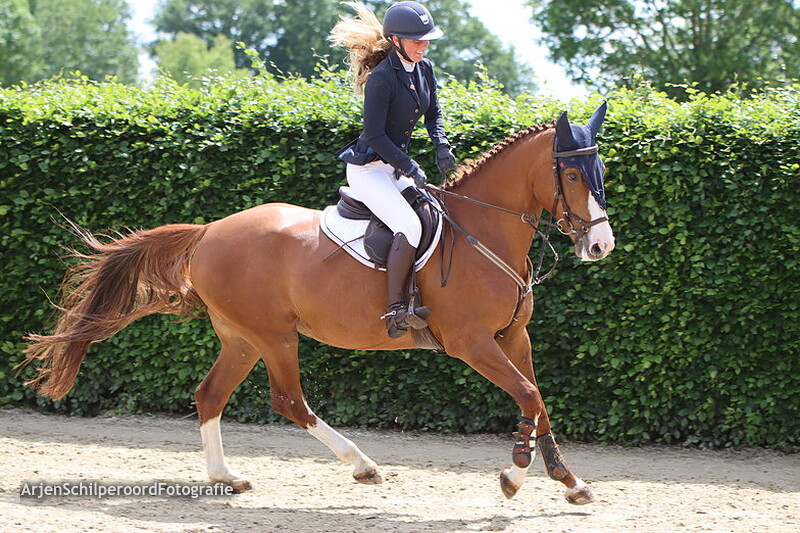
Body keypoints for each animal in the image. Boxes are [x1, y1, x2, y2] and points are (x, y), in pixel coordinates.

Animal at [22, 103, 614, 505]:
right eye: (570, 173)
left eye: (601, 172)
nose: (600, 246)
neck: (483, 231)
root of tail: (210, 230)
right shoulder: (472, 342)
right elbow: (528, 395)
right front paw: (514, 474)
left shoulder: (515, 337)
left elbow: (539, 402)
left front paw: (570, 481)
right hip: (274, 335)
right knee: (289, 401)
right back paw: (362, 465)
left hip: (241, 338)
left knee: (210, 394)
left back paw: (226, 477)